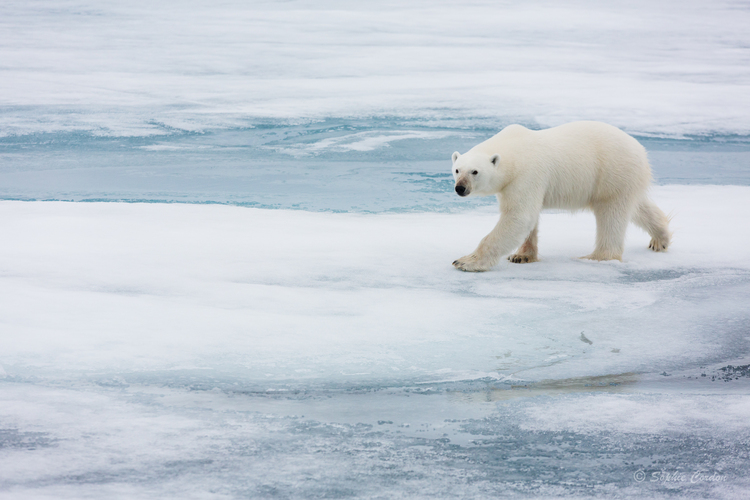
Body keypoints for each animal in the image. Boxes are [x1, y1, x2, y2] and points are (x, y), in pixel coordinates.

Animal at [456, 119, 672, 272]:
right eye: (457, 169)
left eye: (475, 171)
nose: (460, 188)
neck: (514, 151)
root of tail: (641, 150)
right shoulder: (510, 185)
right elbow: (529, 218)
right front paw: (521, 256)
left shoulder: (526, 175)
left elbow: (519, 216)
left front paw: (465, 261)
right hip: (624, 179)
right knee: (637, 207)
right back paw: (660, 238)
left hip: (613, 172)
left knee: (612, 215)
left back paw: (597, 256)